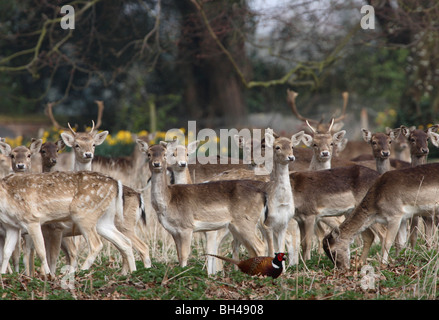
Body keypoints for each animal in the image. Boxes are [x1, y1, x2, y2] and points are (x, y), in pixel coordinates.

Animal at [138, 139, 268, 268]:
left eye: (165, 154)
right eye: (148, 154)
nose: (156, 164)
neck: (167, 201)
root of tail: (261, 194)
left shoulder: (187, 228)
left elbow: (186, 255)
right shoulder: (173, 232)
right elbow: (180, 256)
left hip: (245, 223)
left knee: (261, 245)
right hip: (237, 227)